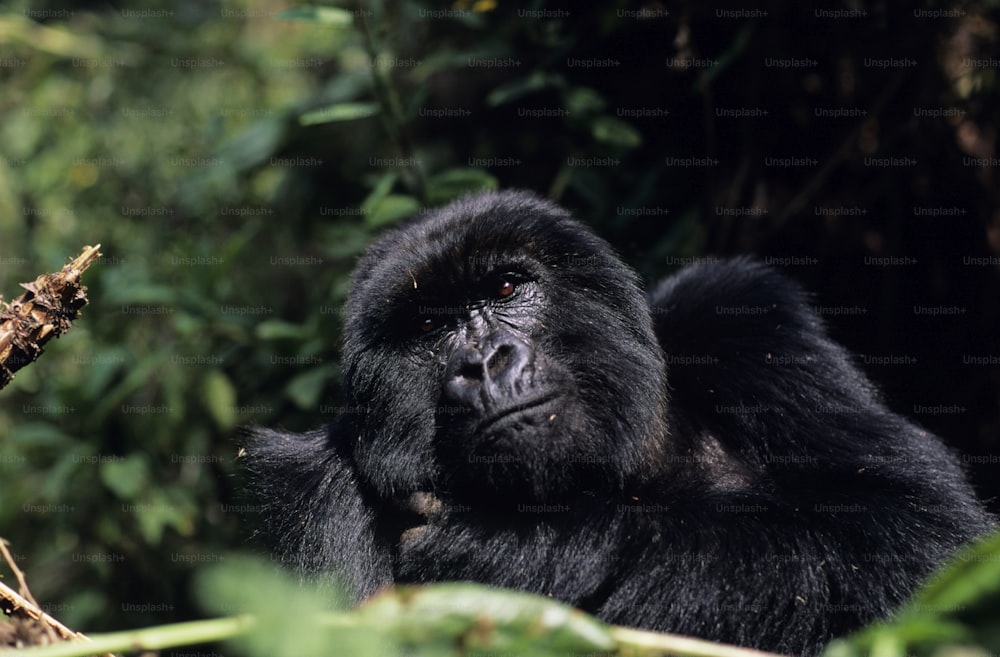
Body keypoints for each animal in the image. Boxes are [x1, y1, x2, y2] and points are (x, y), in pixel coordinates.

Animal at [246, 190, 996, 656]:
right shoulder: (317, 484)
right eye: (430, 327)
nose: (484, 363)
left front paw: (522, 545)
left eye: (507, 287)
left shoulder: (744, 321)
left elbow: (920, 538)